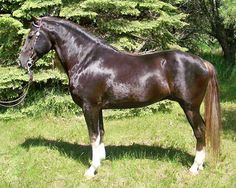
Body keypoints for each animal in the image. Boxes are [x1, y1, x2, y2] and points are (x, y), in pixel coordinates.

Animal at [18, 16, 221, 178]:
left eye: (31, 36)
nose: (21, 61)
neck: (85, 59)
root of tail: (202, 62)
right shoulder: (98, 107)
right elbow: (100, 133)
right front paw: (101, 160)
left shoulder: (89, 106)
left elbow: (93, 136)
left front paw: (91, 170)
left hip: (190, 107)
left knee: (199, 131)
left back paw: (194, 168)